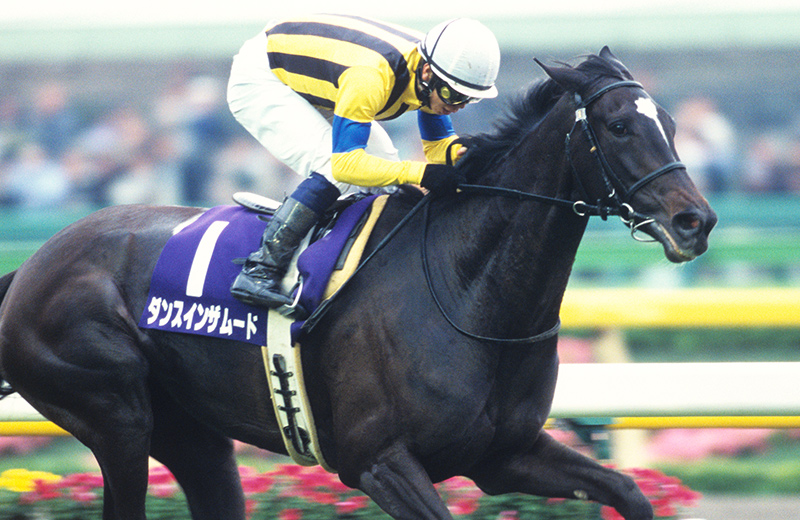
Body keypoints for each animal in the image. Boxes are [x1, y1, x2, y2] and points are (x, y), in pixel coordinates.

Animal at [0, 47, 715, 520]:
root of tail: (34, 264)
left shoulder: (503, 453)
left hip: (193, 434)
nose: (696, 221)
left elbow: (627, 491)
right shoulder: (379, 461)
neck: (469, 293)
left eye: (672, 125)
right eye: (619, 126)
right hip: (113, 413)